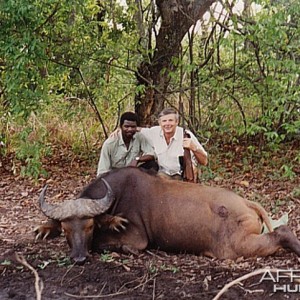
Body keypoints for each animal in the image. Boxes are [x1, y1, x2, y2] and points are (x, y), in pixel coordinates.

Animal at [34, 168, 300, 264]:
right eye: (66, 229)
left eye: (89, 227)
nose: (79, 258)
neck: (116, 195)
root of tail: (246, 203)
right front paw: (44, 229)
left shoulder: (136, 238)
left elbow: (105, 244)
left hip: (238, 247)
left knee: (280, 233)